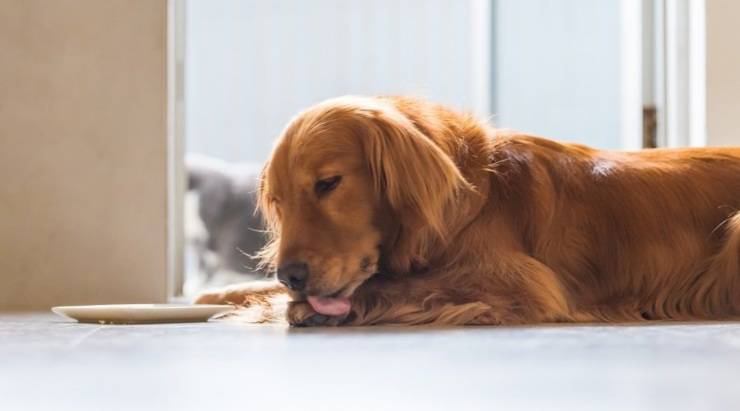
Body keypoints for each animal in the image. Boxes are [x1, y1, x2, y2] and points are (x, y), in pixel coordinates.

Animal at [197, 95, 740, 326]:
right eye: (278, 201)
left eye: (328, 184)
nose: (291, 274)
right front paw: (222, 294)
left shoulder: (523, 283)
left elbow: (404, 285)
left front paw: (298, 308)